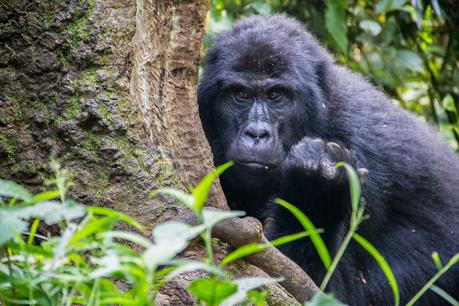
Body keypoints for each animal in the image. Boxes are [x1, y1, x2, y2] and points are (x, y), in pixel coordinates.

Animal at [199, 13, 459, 304]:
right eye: (240, 95)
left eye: (276, 95)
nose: (257, 134)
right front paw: (314, 184)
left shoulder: (361, 156)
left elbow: (322, 291)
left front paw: (314, 185)